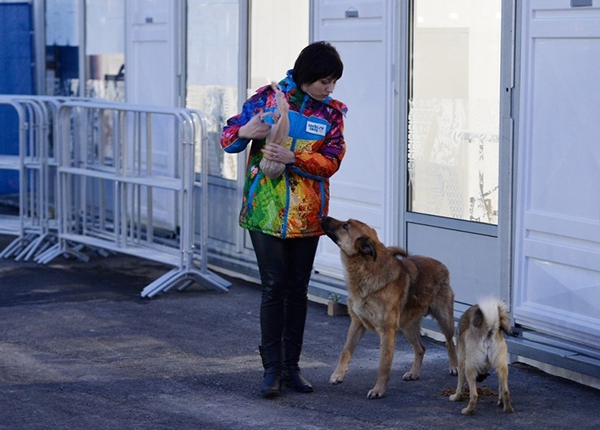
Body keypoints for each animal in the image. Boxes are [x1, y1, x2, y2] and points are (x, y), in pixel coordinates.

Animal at [322, 215, 458, 400]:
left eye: (346, 226)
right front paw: (338, 374)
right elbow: (346, 350)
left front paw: (378, 389)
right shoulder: (357, 324)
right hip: (407, 327)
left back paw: (454, 366)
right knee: (420, 348)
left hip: (444, 319)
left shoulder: (386, 332)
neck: (365, 270)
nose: (323, 216)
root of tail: (441, 264)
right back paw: (414, 372)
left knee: (450, 343)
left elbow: (383, 364)